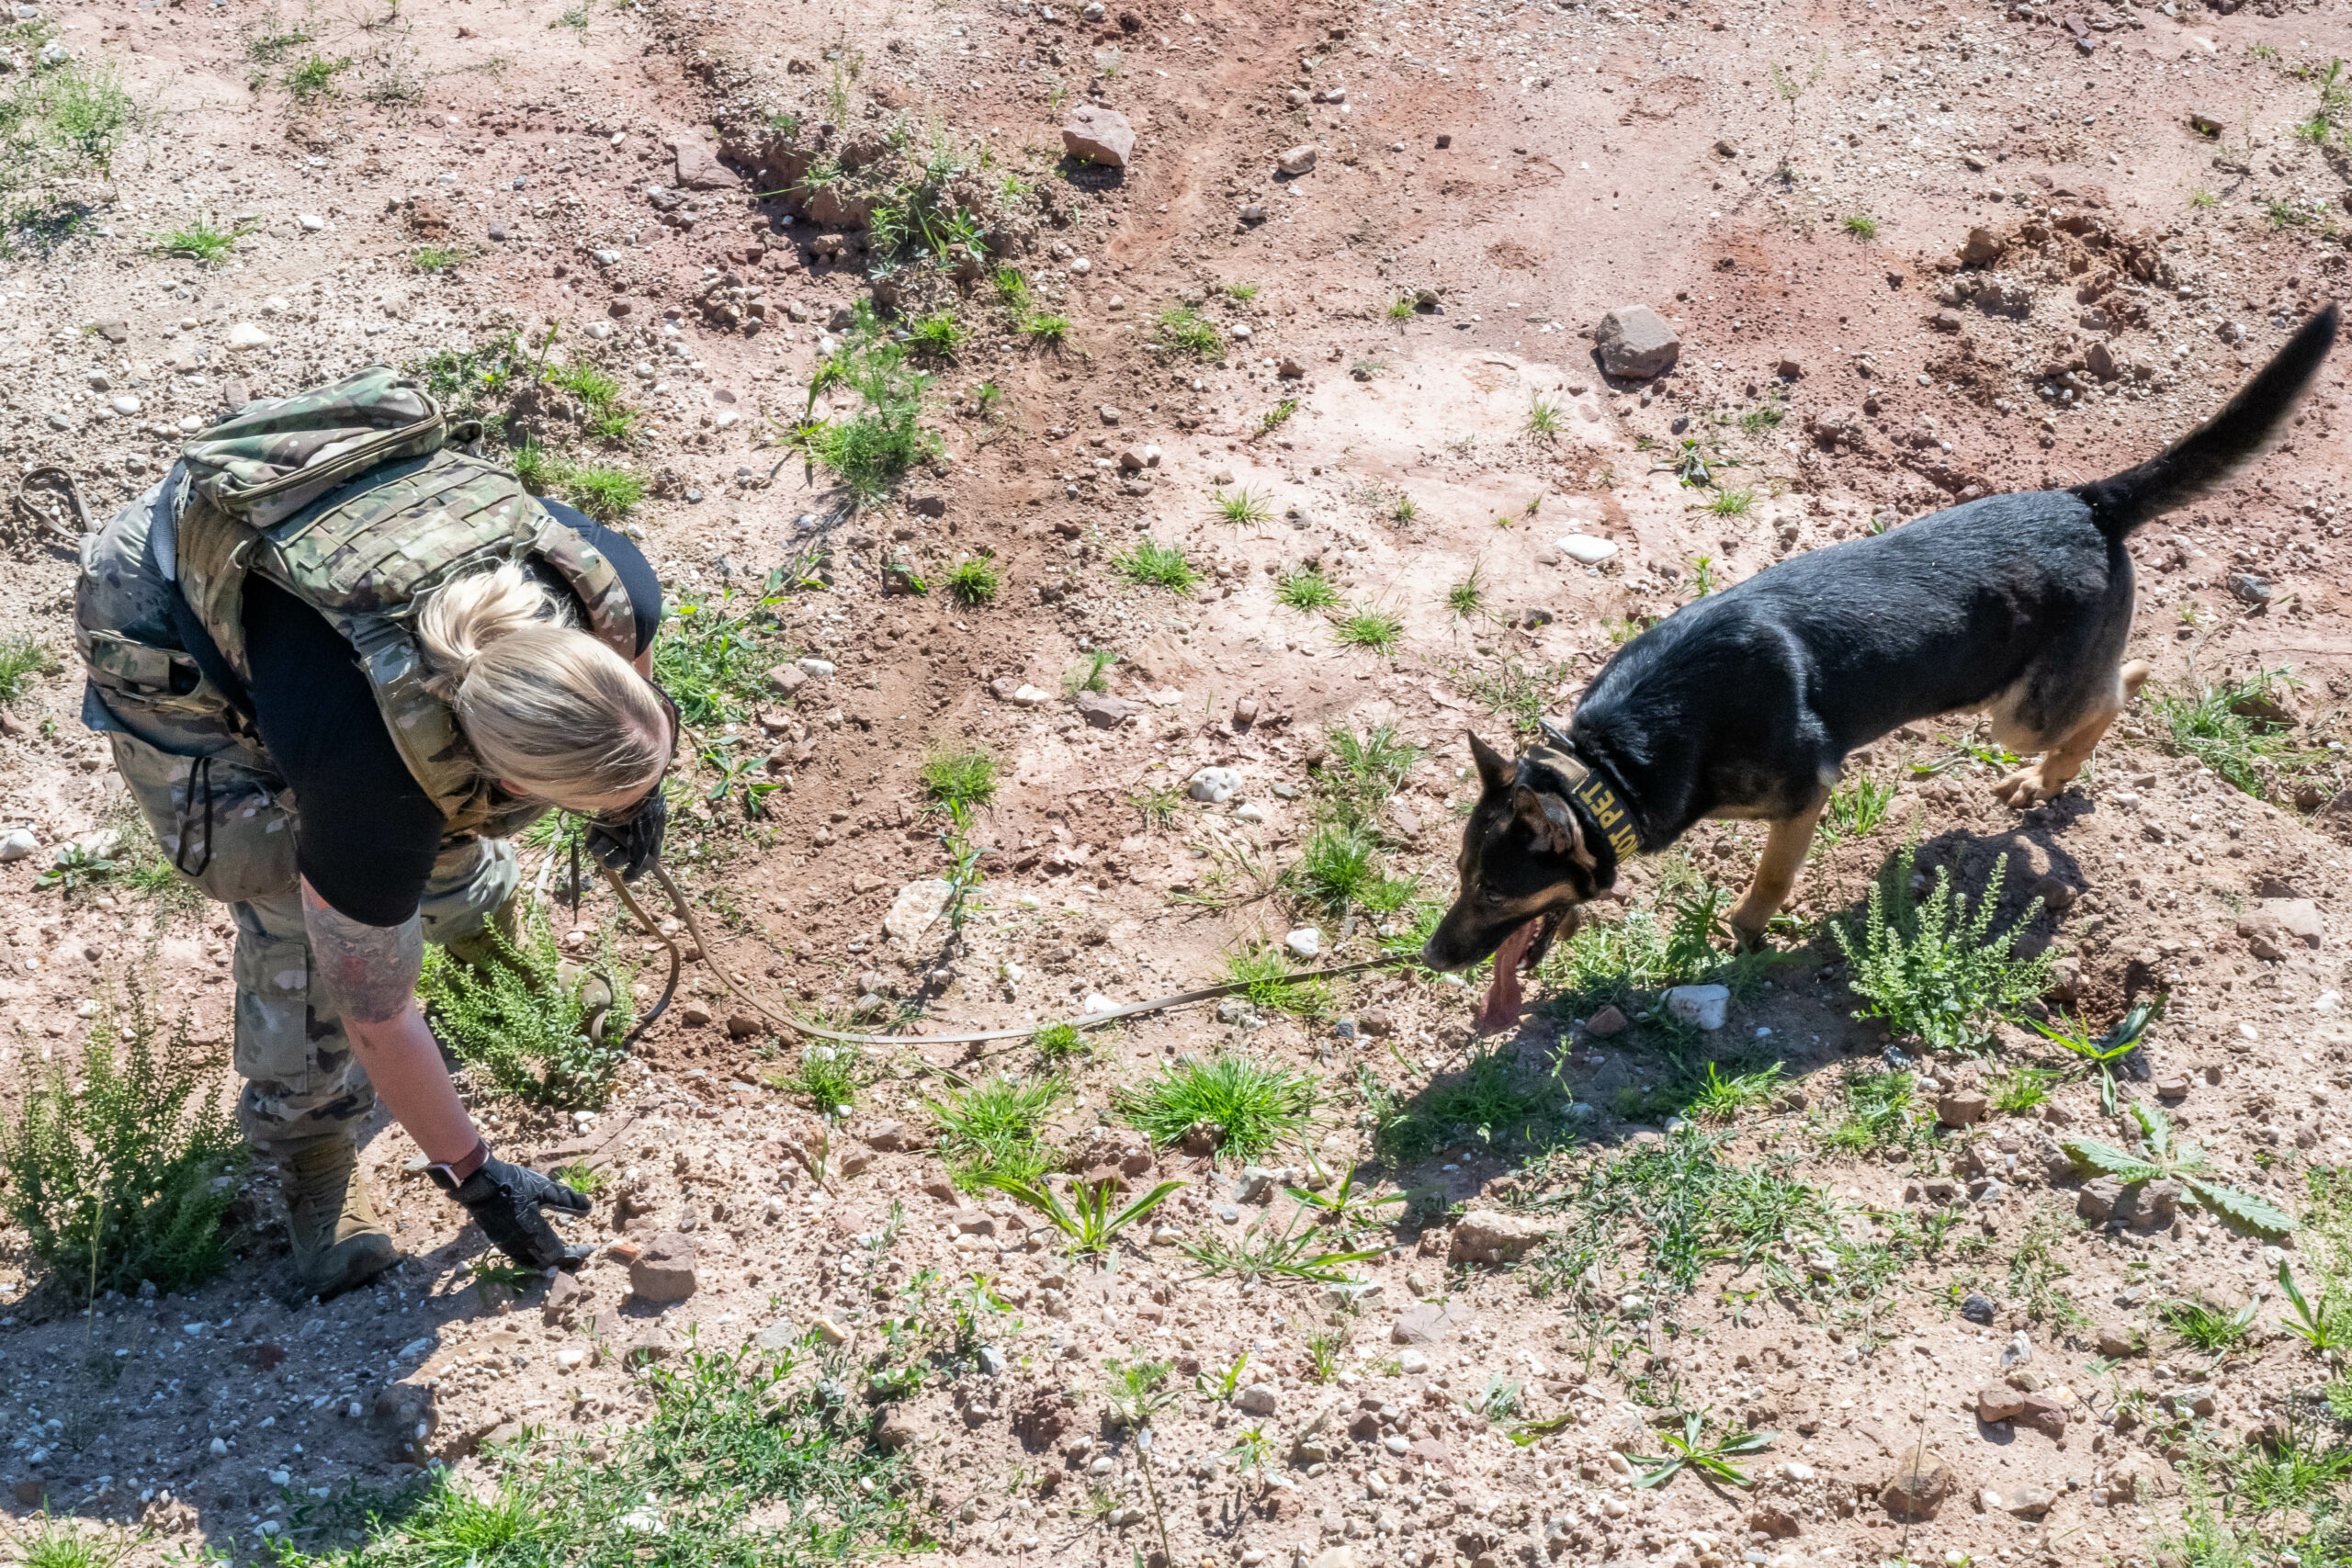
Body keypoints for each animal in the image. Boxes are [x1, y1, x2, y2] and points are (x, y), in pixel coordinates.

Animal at [1430, 300, 2333, 1034]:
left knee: (2107, 697)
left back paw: (2050, 773)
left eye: (1496, 893)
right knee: (2119, 680)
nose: (1433, 957)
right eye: (1462, 875)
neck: (1613, 761)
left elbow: (1771, 879)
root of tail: (2087, 502)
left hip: (2019, 713)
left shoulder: (1805, 793)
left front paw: (1745, 932)